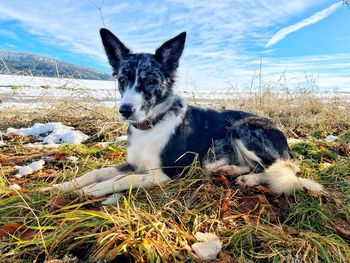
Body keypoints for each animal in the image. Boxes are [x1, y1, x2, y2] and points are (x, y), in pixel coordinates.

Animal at [49, 29, 322, 206]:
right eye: (123, 79)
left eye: (151, 81)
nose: (125, 110)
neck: (152, 125)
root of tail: (283, 137)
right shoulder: (133, 163)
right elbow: (98, 172)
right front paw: (62, 186)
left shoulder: (168, 173)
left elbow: (124, 179)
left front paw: (94, 190)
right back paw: (230, 168)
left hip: (243, 128)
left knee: (280, 169)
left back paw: (249, 178)